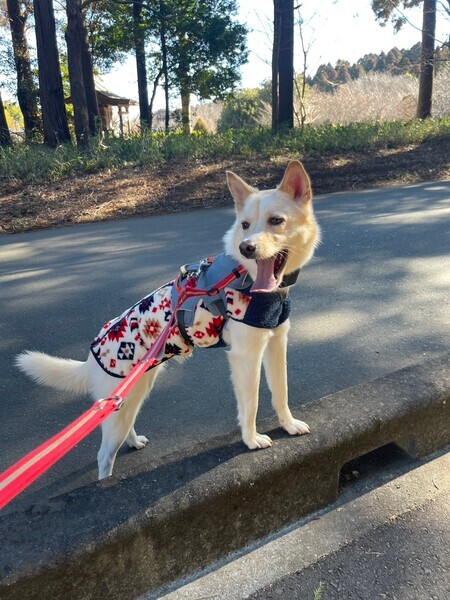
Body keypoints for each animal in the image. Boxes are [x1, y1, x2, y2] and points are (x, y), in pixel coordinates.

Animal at [16, 160, 320, 480]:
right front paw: (251, 440)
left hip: (132, 396)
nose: (246, 247)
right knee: (104, 456)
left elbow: (281, 391)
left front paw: (289, 425)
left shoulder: (276, 343)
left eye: (276, 221)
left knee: (124, 428)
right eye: (245, 225)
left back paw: (134, 441)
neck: (246, 278)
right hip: (121, 406)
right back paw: (105, 483)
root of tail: (91, 356)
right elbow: (251, 403)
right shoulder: (245, 356)